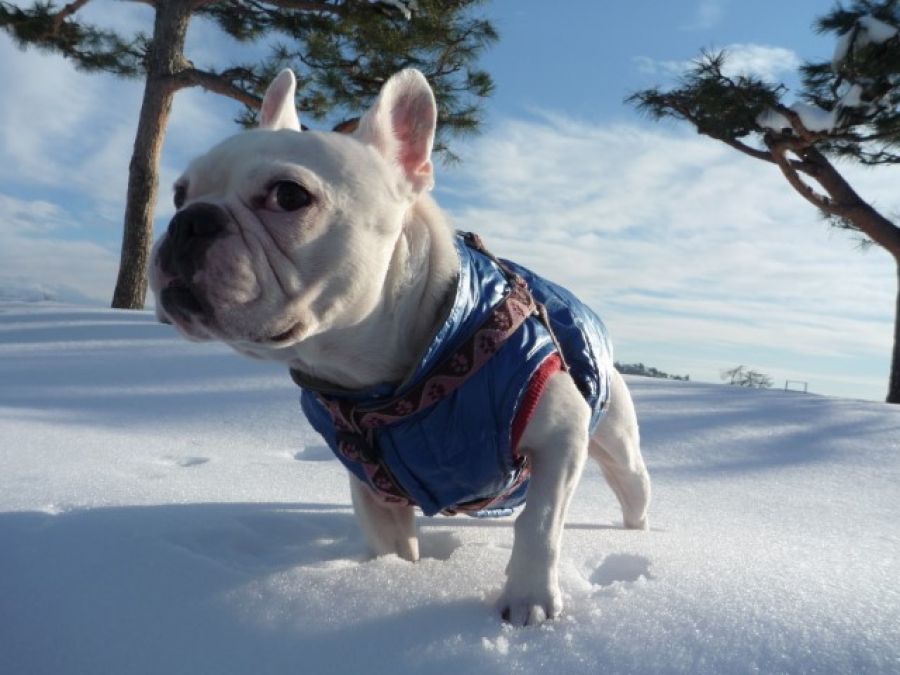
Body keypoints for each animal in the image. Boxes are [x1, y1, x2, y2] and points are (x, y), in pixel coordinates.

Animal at [150, 68, 651, 627]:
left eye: (289, 197)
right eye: (179, 194)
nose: (188, 220)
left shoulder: (560, 436)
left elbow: (540, 523)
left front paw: (529, 600)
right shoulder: (373, 486)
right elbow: (394, 546)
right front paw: (394, 583)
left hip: (617, 446)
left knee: (631, 490)